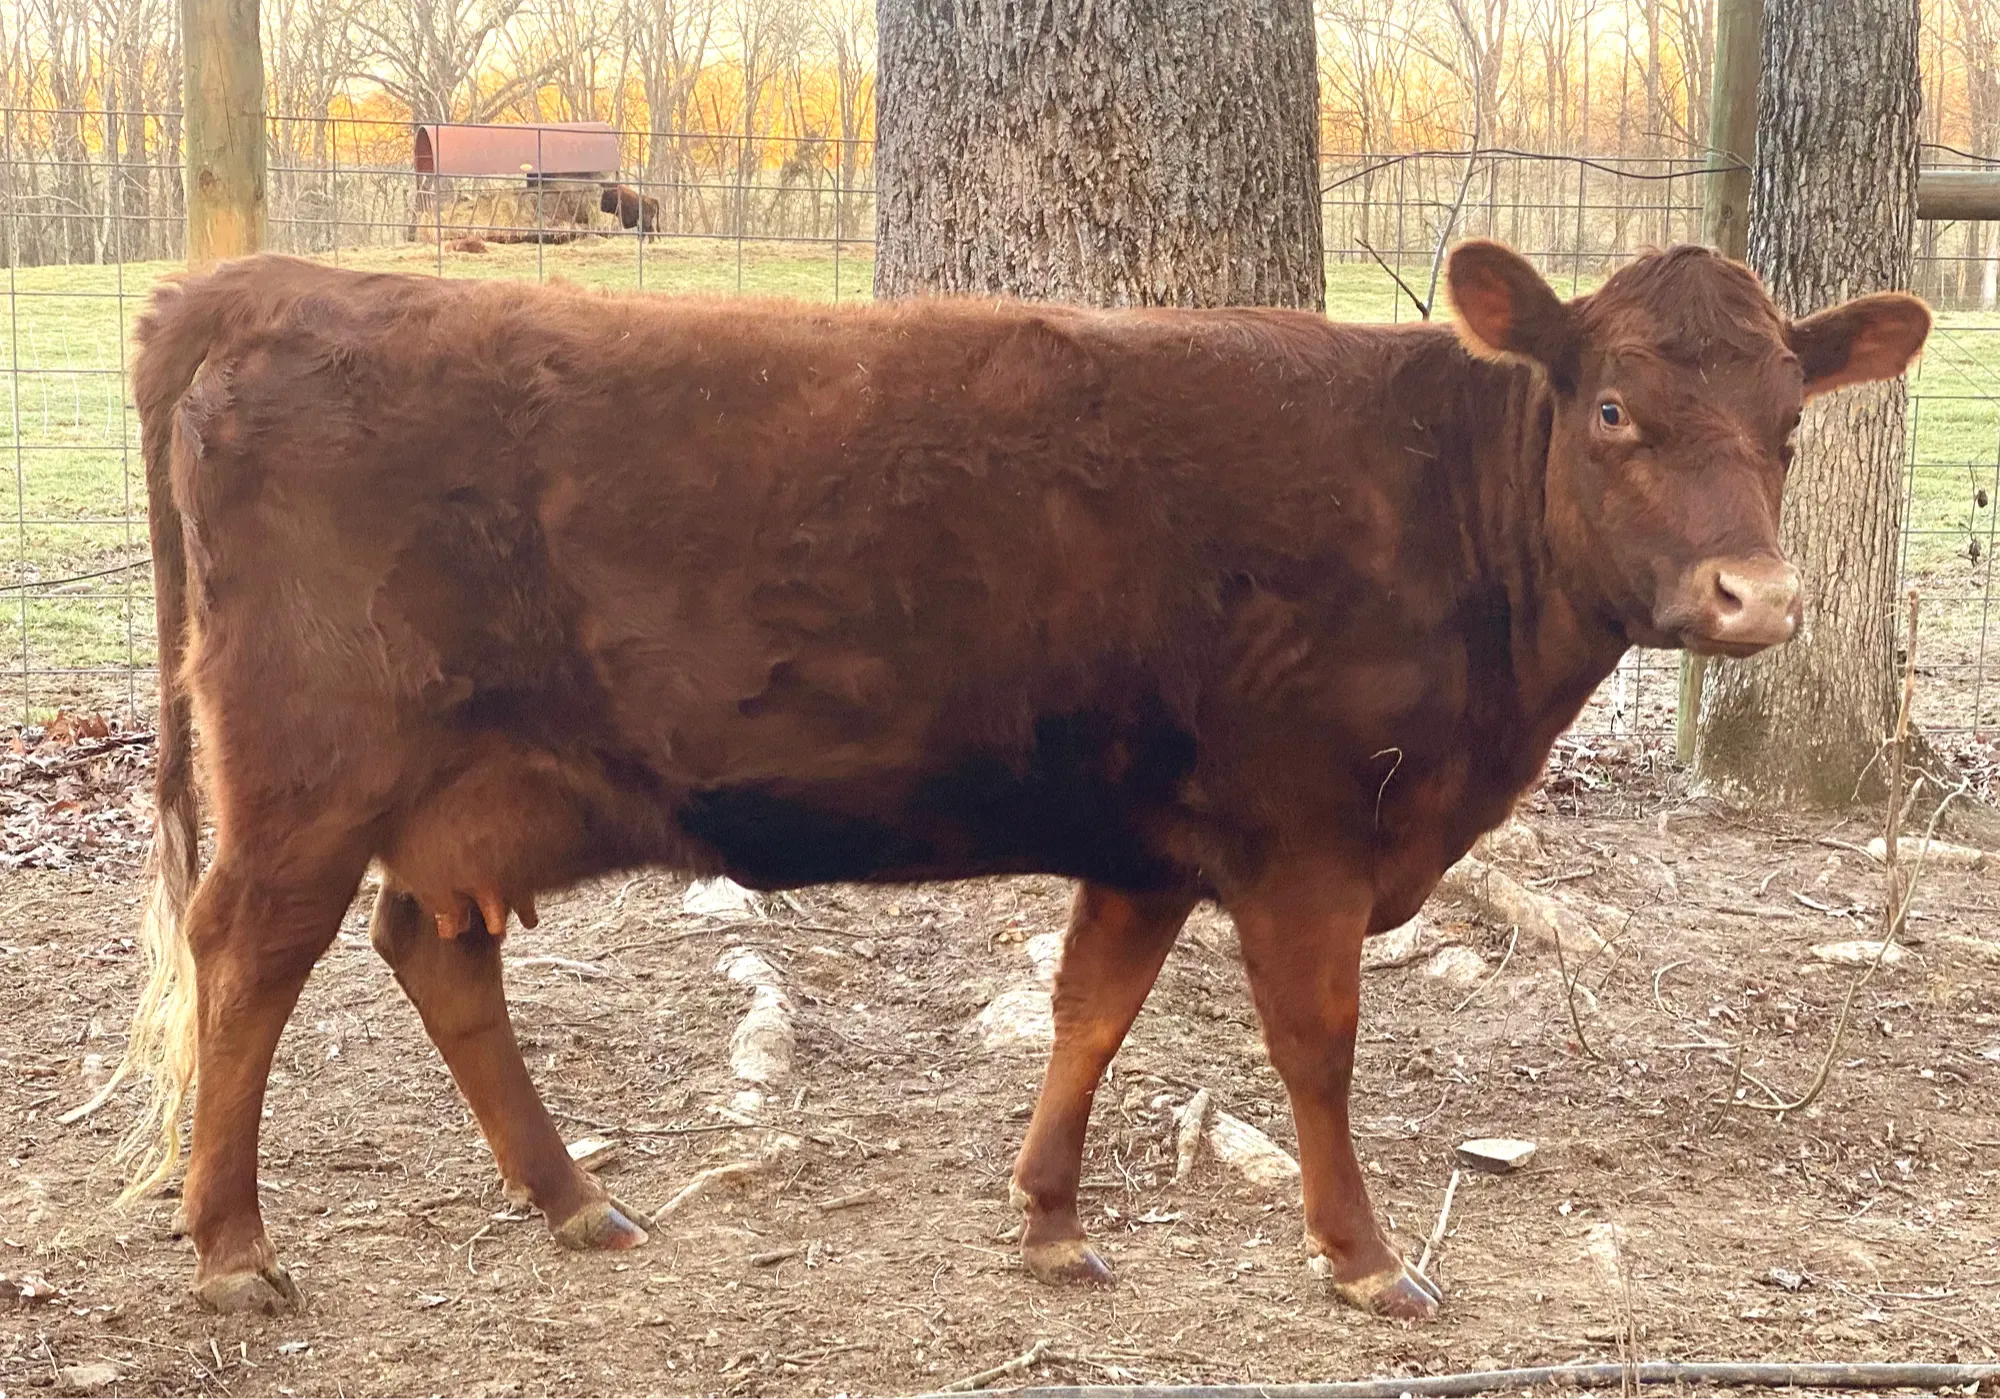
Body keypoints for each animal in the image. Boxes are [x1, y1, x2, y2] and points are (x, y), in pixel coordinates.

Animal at [115, 242, 1929, 1319]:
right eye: (1614, 406)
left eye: (1789, 424)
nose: (1754, 598)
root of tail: (260, 284)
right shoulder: (1304, 834)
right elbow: (1316, 1045)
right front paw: (1361, 1257)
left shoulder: (1146, 834)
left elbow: (1092, 1009)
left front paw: (1049, 1217)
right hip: (309, 771)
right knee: (248, 955)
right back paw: (233, 1247)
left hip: (458, 792)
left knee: (438, 953)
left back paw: (574, 1201)